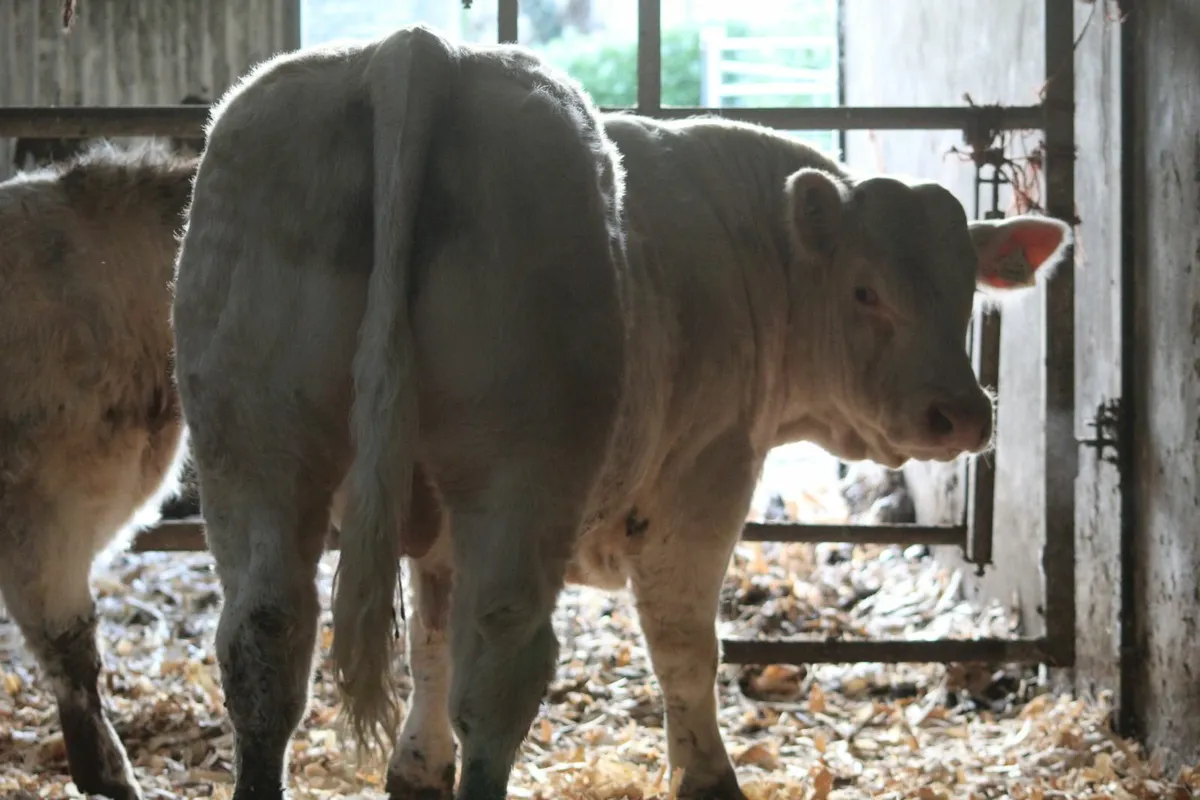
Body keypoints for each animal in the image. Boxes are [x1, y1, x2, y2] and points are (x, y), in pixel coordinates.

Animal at [170, 23, 1074, 800]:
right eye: (865, 291)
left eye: (965, 293)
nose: (960, 413)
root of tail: (415, 50)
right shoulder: (706, 475)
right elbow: (682, 643)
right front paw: (708, 777)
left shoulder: (437, 528)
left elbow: (428, 640)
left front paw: (416, 770)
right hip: (520, 467)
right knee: (500, 662)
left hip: (255, 450)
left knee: (267, 637)